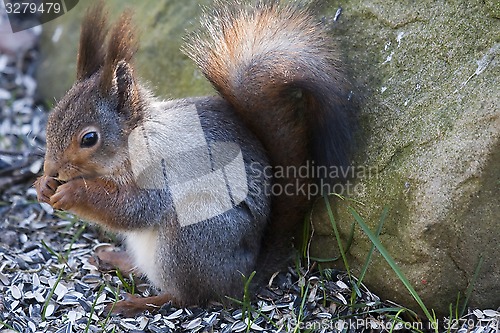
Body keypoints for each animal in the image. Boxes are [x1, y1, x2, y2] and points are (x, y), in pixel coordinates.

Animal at [34, 0, 352, 316]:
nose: (52, 169)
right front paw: (43, 186)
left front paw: (72, 192)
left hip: (190, 239)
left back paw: (138, 302)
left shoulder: (160, 171)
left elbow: (133, 208)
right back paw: (116, 259)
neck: (132, 141)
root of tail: (243, 276)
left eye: (89, 139)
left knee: (185, 297)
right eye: (51, 118)